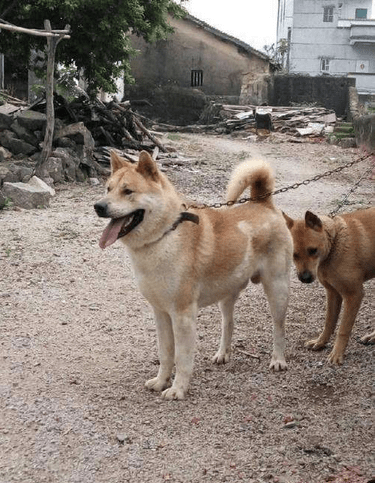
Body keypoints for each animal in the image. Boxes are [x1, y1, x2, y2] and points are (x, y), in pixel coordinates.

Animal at [94, 151, 294, 400]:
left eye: (128, 191)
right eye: (108, 189)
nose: (98, 207)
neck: (164, 236)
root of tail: (263, 203)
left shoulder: (182, 315)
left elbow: (182, 358)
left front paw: (178, 389)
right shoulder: (161, 314)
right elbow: (166, 353)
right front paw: (161, 382)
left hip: (277, 290)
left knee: (279, 328)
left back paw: (278, 360)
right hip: (227, 295)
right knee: (228, 324)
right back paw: (223, 354)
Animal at [284, 208, 375, 364]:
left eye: (313, 250)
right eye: (294, 255)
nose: (305, 278)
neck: (335, 243)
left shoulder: (353, 295)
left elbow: (343, 329)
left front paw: (337, 354)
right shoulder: (333, 293)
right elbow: (329, 322)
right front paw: (320, 342)